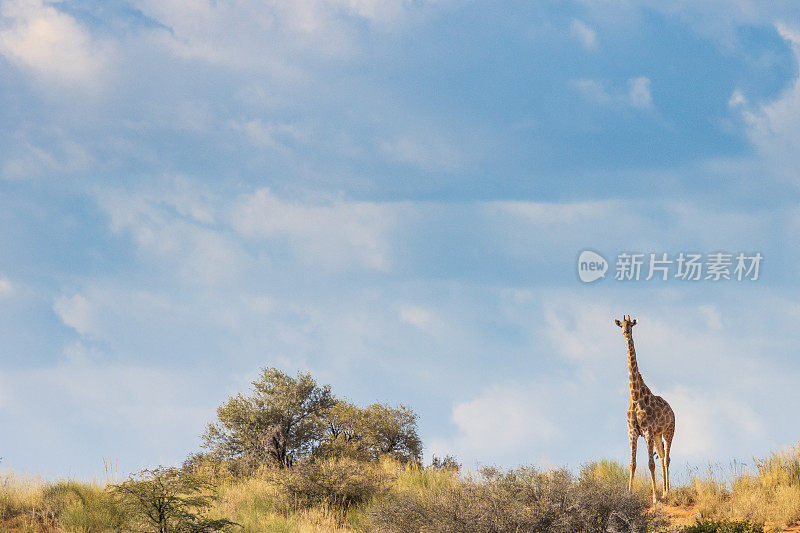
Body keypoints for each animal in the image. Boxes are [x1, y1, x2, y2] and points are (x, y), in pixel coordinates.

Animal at [616, 316, 672, 502]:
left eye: (631, 325)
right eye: (621, 324)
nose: (625, 332)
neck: (635, 396)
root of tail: (672, 410)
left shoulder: (647, 431)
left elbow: (650, 464)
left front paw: (654, 497)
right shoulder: (632, 432)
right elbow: (632, 464)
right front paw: (628, 494)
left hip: (668, 431)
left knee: (666, 459)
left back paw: (666, 492)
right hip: (657, 435)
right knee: (661, 457)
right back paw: (665, 491)